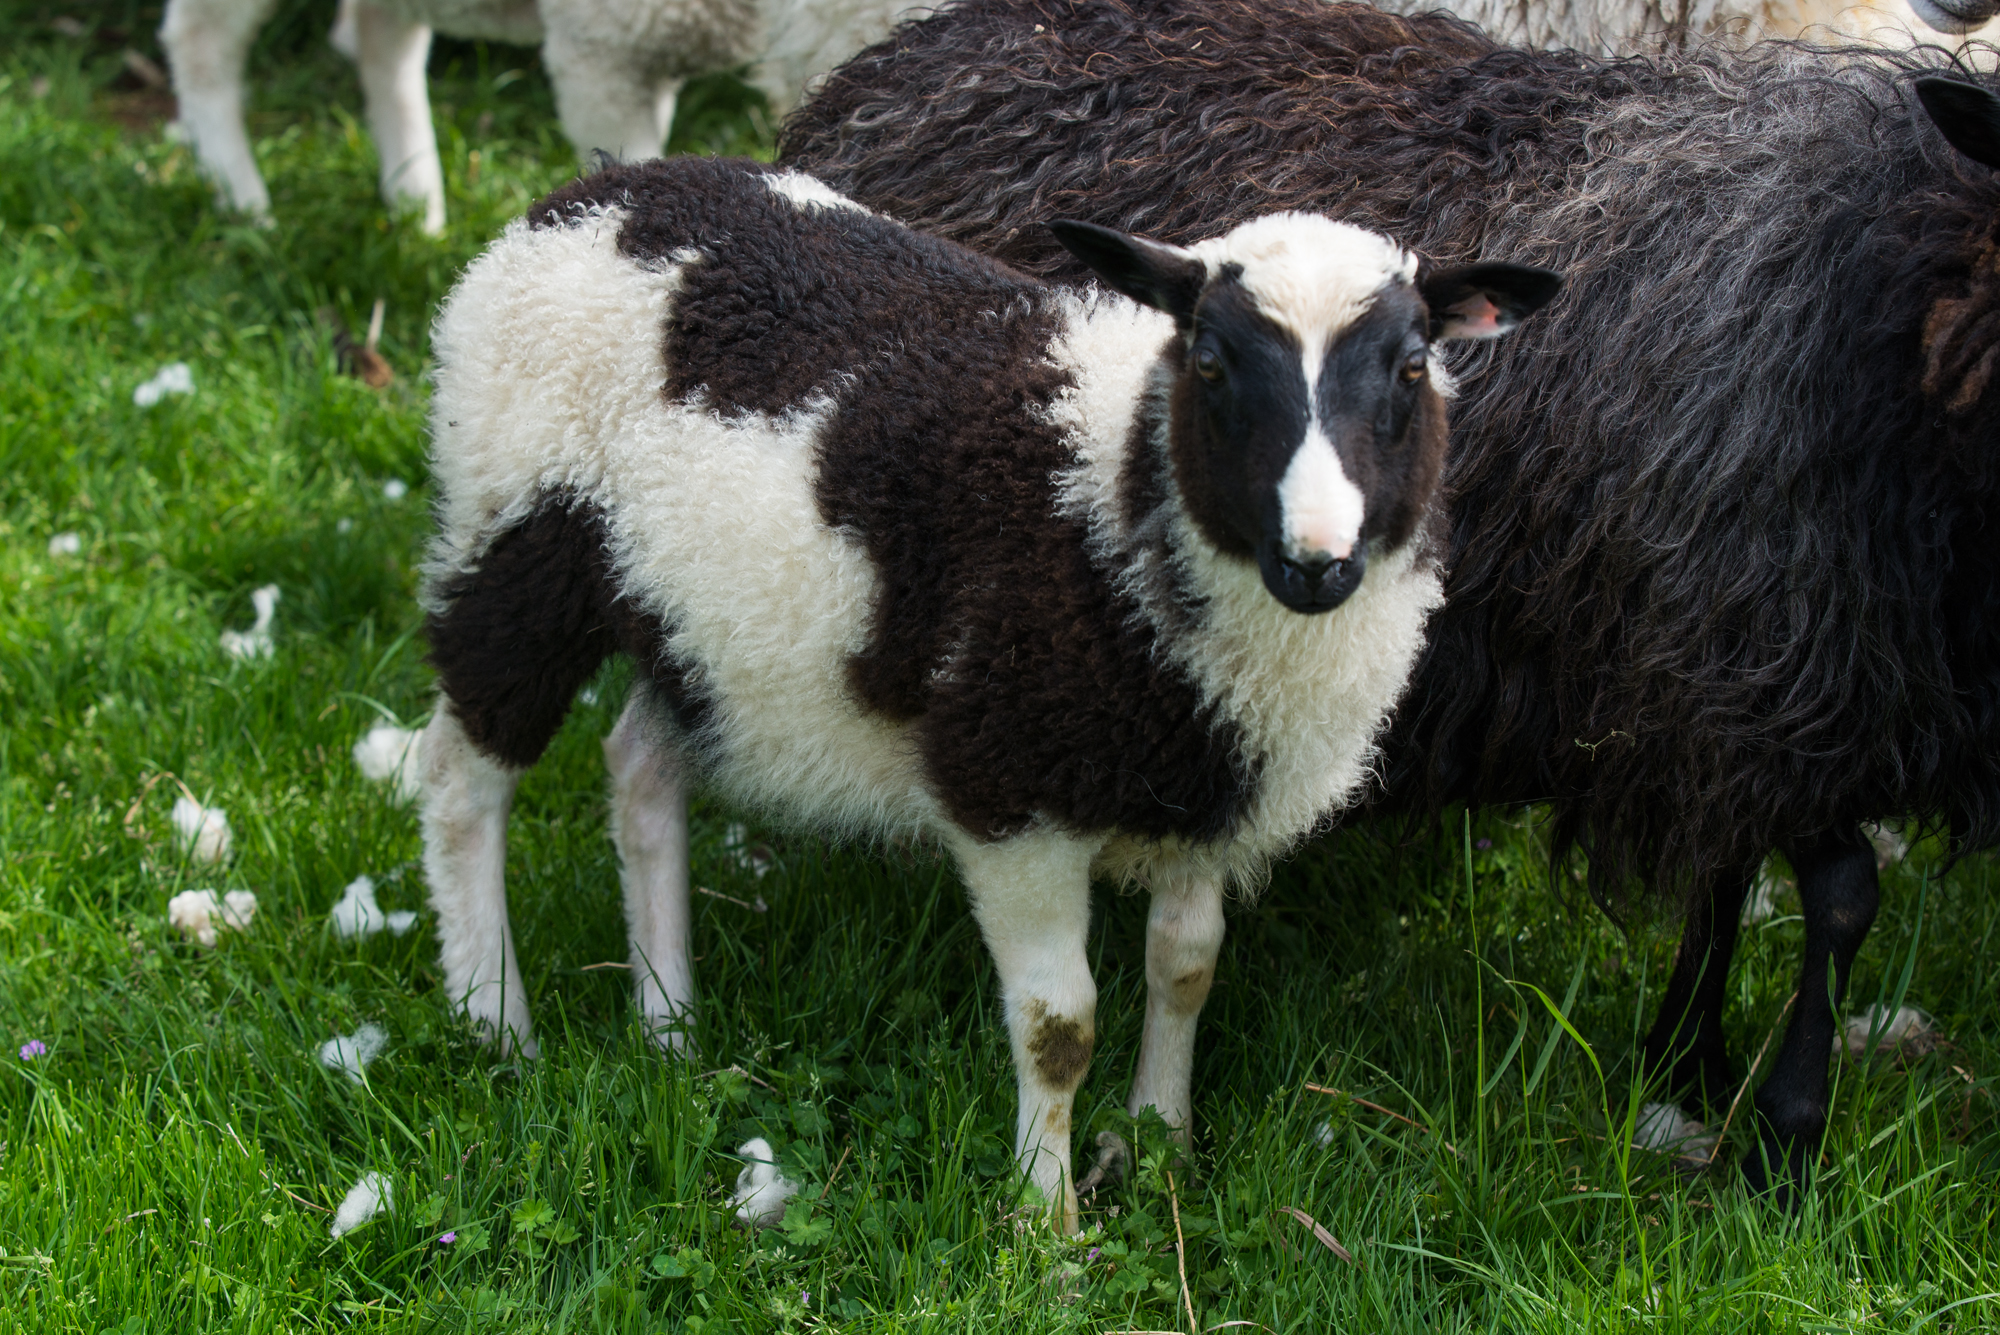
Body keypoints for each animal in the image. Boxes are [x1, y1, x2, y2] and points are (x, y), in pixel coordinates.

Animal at [415, 153, 1559, 1229]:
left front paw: (1160, 1144)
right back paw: (493, 1021)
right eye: (1209, 361)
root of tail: (591, 195)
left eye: (1412, 367)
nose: (1316, 560)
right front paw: (1045, 1226)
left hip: (694, 625)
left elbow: (1185, 965)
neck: (1123, 489)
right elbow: (1059, 1026)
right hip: (513, 531)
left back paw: (668, 1028)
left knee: (640, 772)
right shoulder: (1010, 789)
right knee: (461, 776)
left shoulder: (1208, 794)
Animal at [777, 0, 2000, 1201]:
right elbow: (1835, 890)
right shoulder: (1740, 659)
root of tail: (888, 65)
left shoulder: (1727, 676)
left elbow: (1734, 876)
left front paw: (1688, 1067)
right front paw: (1780, 1142)